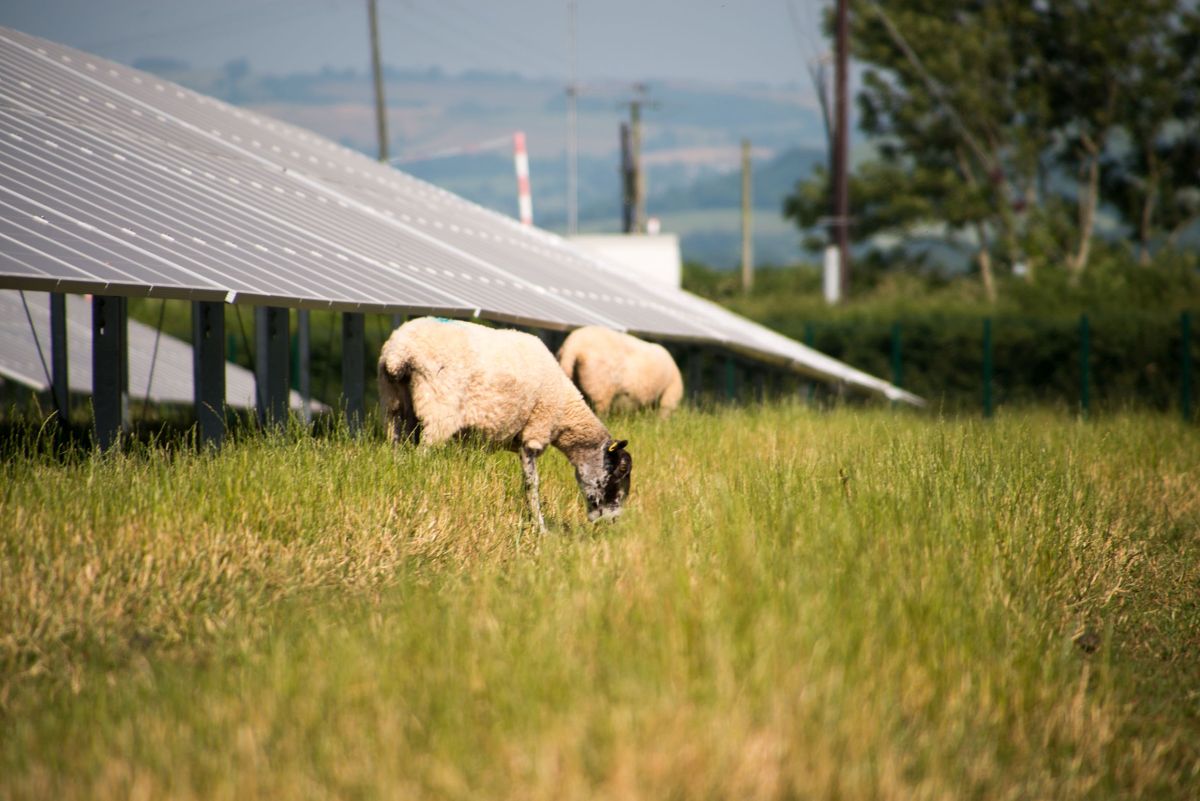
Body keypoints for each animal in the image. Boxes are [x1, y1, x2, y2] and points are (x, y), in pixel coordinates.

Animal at [379, 318, 633, 532]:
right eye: (620, 470)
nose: (612, 520)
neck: (565, 410)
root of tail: (399, 353)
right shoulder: (534, 435)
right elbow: (532, 485)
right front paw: (540, 528)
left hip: (395, 406)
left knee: (398, 452)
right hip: (438, 412)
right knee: (421, 458)